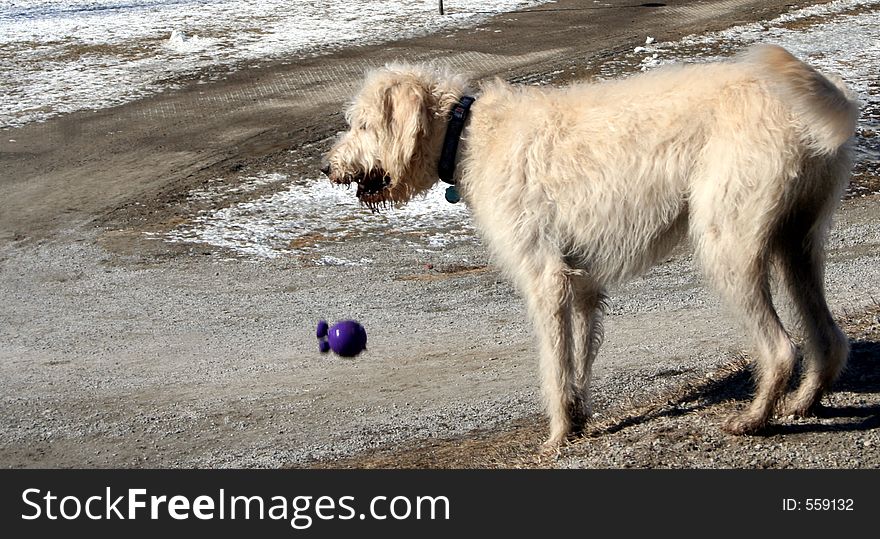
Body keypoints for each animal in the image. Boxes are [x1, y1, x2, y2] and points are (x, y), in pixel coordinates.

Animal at [324, 44, 860, 446]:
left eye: (362, 124)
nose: (328, 168)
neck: (467, 133)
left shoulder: (544, 279)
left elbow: (553, 366)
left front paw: (557, 436)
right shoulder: (580, 284)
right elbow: (577, 357)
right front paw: (578, 418)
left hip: (728, 247)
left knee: (781, 349)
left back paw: (754, 419)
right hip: (797, 245)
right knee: (829, 340)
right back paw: (803, 402)